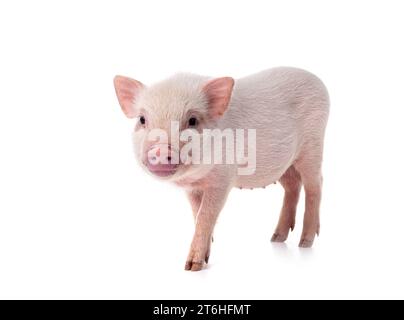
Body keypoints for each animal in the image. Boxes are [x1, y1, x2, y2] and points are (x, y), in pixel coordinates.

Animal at [113, 67, 328, 270]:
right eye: (142, 119)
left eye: (192, 120)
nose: (159, 149)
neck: (197, 176)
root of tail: (320, 83)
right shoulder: (192, 188)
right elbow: (196, 214)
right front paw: (206, 257)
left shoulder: (223, 179)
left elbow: (205, 216)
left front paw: (192, 267)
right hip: (284, 164)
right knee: (293, 186)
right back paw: (276, 238)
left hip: (313, 146)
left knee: (315, 186)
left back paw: (305, 242)